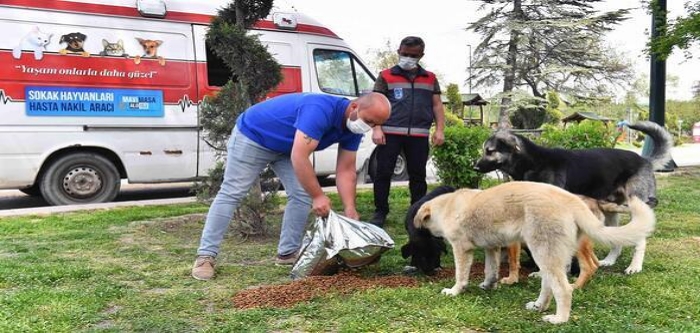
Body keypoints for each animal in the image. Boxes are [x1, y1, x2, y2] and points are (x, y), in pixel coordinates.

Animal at [412, 180, 652, 322]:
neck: (448, 205)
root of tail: (572, 199)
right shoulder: (492, 248)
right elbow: (491, 270)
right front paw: (489, 285)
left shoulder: (462, 249)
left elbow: (461, 275)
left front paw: (454, 291)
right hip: (546, 253)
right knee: (549, 285)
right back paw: (538, 306)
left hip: (543, 251)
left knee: (563, 289)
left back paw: (559, 318)